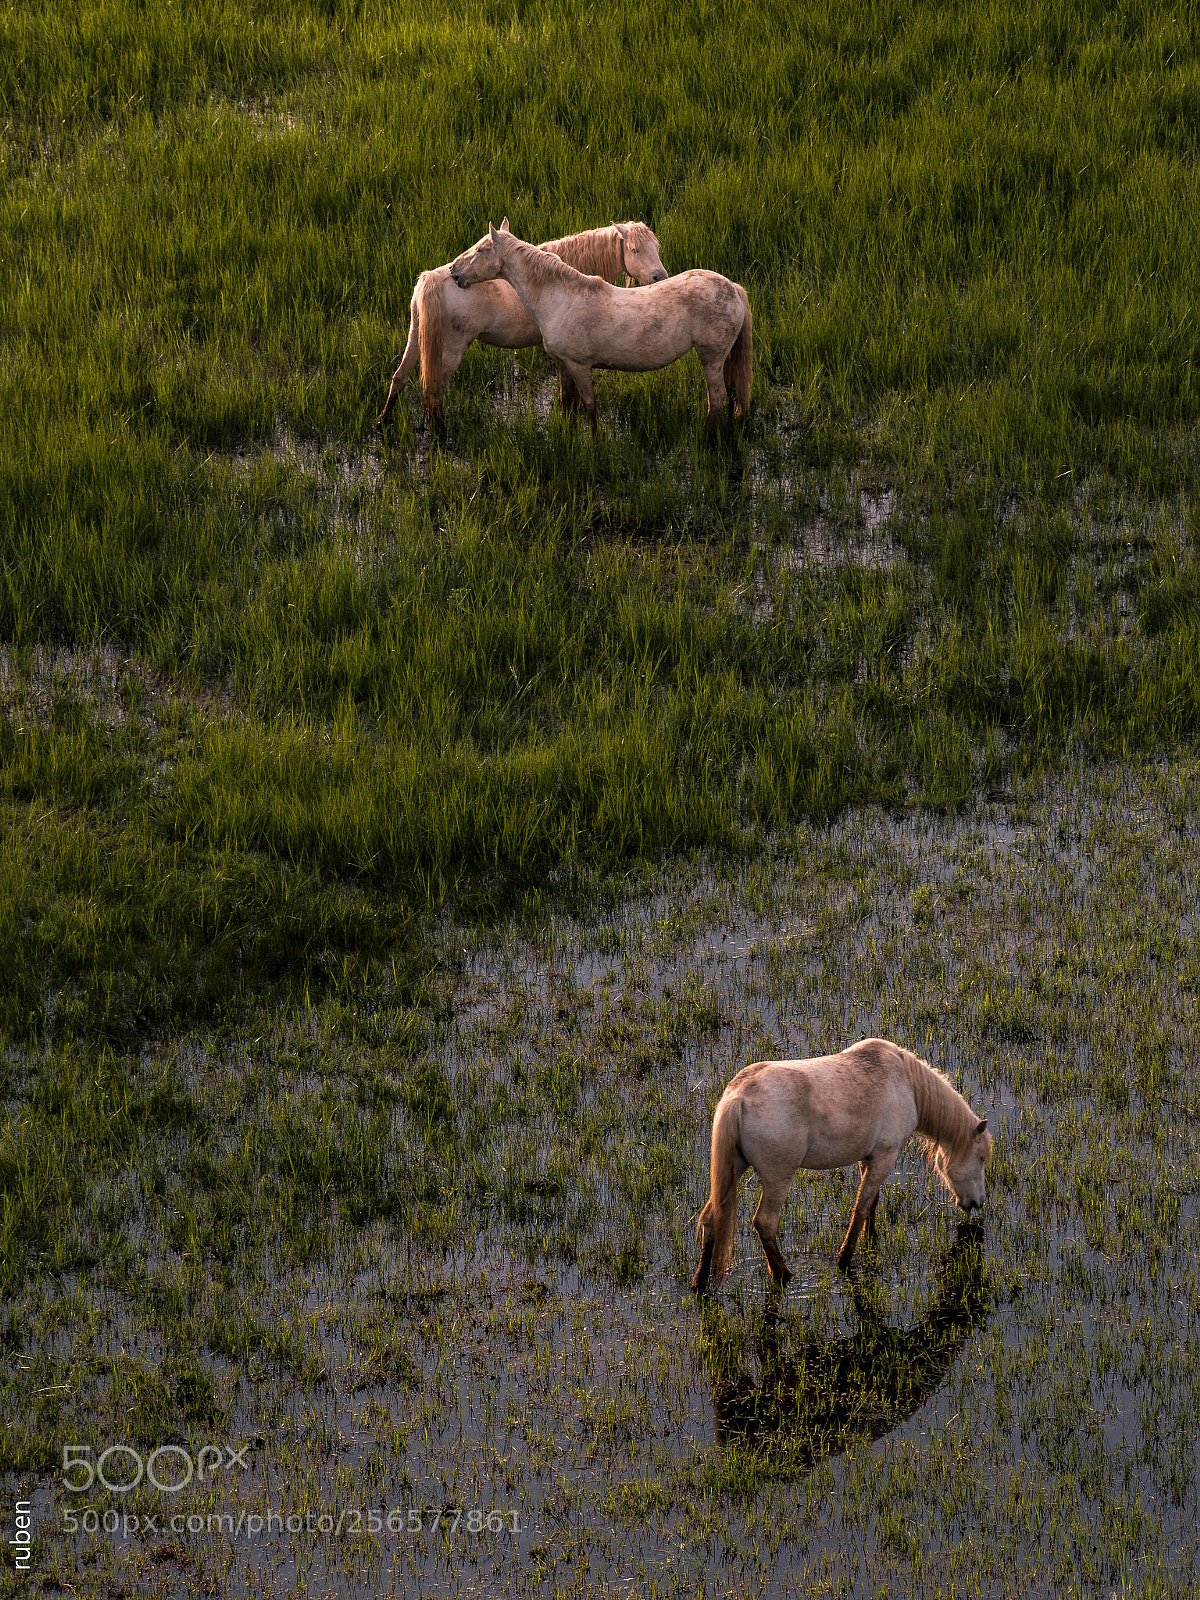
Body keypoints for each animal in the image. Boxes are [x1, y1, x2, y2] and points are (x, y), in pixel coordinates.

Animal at [377, 219, 667, 425]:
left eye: (657, 247)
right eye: (634, 249)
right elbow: (569, 396)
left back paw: (382, 423)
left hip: (417, 338)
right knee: (434, 393)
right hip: (449, 349)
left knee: (399, 378)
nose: (660, 278)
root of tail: (431, 279)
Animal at [449, 221, 752, 434]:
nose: (453, 271)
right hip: (722, 357)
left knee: (717, 396)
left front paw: (596, 441)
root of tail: (733, 287)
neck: (560, 297)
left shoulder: (580, 365)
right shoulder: (564, 364)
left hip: (710, 356)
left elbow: (590, 405)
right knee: (731, 390)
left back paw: (707, 436)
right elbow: (567, 399)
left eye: (480, 250)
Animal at [691, 1038, 993, 1292]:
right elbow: (861, 1206)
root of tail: (738, 1097)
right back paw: (783, 1273)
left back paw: (700, 1280)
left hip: (733, 1170)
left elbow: (871, 1201)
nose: (977, 1202)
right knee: (764, 1222)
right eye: (980, 1158)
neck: (906, 1082)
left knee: (710, 1217)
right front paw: (845, 1257)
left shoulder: (868, 1156)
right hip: (778, 1178)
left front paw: (871, 1238)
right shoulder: (886, 1155)